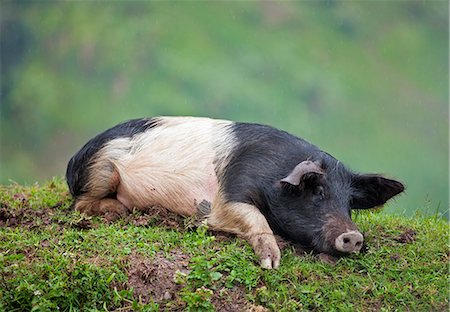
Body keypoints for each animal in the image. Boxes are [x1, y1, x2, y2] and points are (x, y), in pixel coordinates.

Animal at [66, 116, 404, 268]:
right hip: (103, 169)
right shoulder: (231, 191)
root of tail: (74, 158)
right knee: (80, 204)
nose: (354, 236)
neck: (274, 174)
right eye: (316, 191)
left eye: (349, 203)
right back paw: (119, 211)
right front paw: (271, 262)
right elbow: (250, 217)